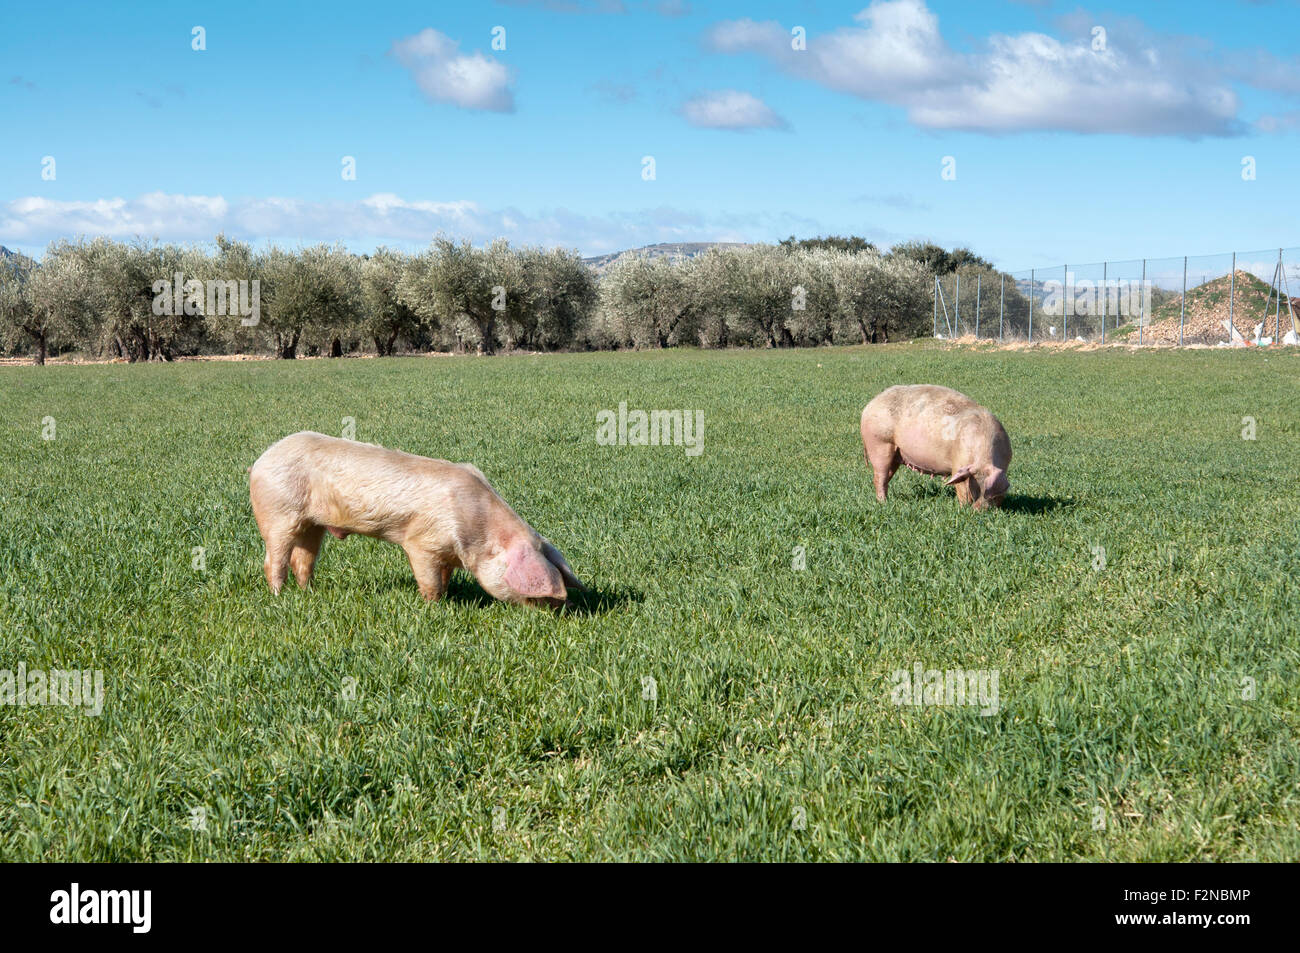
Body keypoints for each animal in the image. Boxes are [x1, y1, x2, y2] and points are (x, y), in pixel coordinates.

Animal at [248, 434, 585, 608]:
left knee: (303, 560)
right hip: (278, 512)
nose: (564, 609)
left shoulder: (448, 553)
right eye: (543, 595)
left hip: (313, 524)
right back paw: (278, 597)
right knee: (273, 558)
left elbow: (445, 579)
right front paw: (434, 608)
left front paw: (447, 597)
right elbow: (429, 581)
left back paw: (309, 594)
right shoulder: (422, 544)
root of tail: (260, 460)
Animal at [863, 382, 1013, 509]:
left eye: (993, 496)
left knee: (886, 477)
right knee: (879, 477)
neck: (983, 458)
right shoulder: (958, 464)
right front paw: (963, 508)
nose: (977, 511)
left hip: (895, 454)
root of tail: (869, 406)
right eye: (974, 488)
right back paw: (883, 503)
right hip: (879, 443)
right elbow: (960, 488)